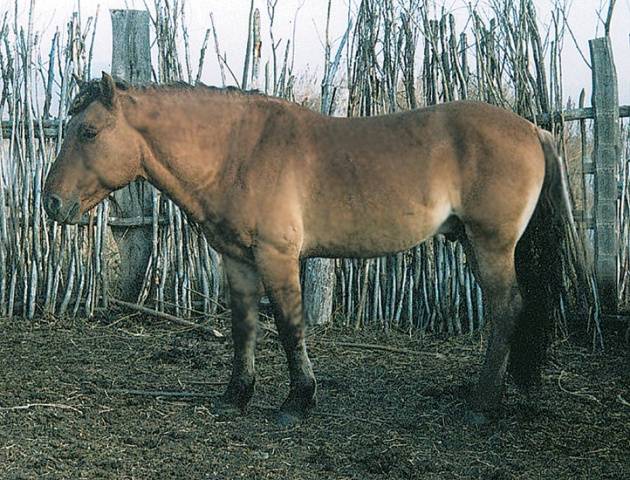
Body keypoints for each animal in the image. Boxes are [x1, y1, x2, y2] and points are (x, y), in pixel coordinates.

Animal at [44, 71, 592, 424]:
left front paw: (297, 400)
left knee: (507, 308)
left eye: (88, 131)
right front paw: (235, 395)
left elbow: (290, 327)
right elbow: (244, 328)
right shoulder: (237, 260)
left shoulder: (278, 257)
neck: (239, 151)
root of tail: (534, 129)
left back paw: (481, 405)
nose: (51, 203)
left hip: (491, 245)